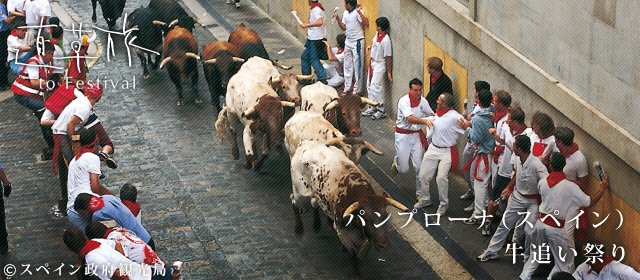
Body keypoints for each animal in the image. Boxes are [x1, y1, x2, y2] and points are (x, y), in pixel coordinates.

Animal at [292, 141, 408, 278]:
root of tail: (306, 143)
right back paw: (298, 228)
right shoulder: (341, 230)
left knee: (314, 203)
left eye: (386, 217)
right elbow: (352, 252)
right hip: (300, 190)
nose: (383, 245)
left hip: (316, 193)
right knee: (294, 202)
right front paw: (356, 273)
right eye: (366, 218)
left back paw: (316, 225)